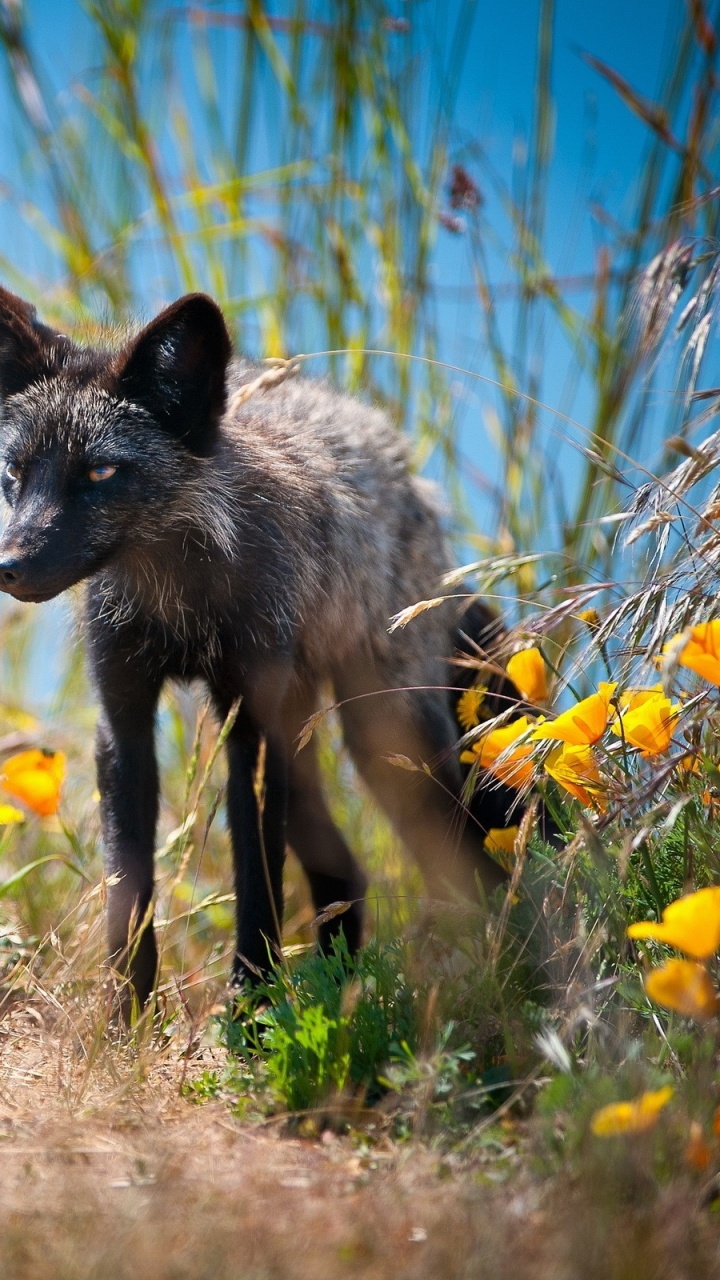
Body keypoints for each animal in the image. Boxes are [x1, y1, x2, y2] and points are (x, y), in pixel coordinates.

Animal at [0, 286, 516, 1010]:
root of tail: (409, 473)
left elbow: (257, 894)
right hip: (315, 745)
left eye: (99, 471)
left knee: (478, 857)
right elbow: (128, 904)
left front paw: (249, 1015)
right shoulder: (123, 727)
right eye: (15, 472)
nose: (8, 567)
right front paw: (125, 1022)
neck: (179, 605)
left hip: (386, 741)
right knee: (347, 876)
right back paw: (342, 988)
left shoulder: (251, 733)